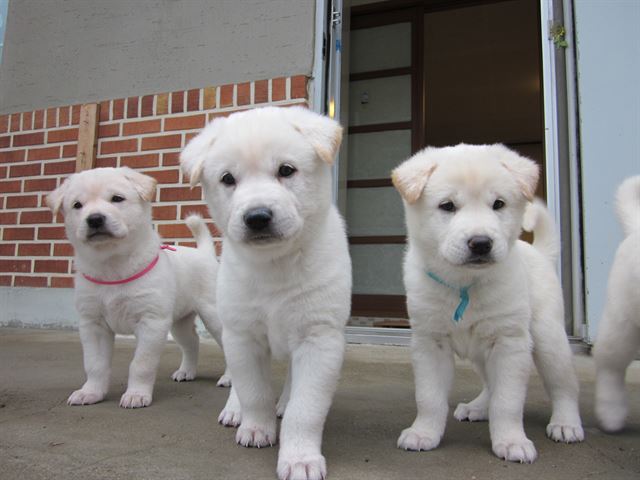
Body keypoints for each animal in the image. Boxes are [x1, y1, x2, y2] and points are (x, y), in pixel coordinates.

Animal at [47, 167, 230, 406]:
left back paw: (228, 378)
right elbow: (95, 364)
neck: (113, 264)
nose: (95, 219)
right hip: (178, 322)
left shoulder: (151, 321)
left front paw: (136, 394)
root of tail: (204, 253)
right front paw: (91, 392)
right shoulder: (92, 324)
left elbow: (141, 364)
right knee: (191, 342)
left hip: (213, 315)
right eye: (77, 205)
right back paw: (186, 372)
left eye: (117, 198)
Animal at [180, 108, 350, 480]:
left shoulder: (318, 337)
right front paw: (256, 428)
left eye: (286, 170)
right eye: (228, 179)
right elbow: (253, 391)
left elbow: (306, 406)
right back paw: (235, 411)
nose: (257, 217)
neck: (275, 264)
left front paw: (300, 458)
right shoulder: (242, 335)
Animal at [392, 144, 584, 464]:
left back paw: (566, 424)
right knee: (489, 384)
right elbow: (429, 397)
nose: (481, 243)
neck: (465, 284)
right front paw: (423, 433)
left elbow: (507, 401)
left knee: (564, 385)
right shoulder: (430, 342)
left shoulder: (509, 342)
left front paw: (512, 442)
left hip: (548, 339)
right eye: (447, 206)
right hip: (482, 352)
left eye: (498, 204)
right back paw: (478, 407)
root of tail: (539, 253)